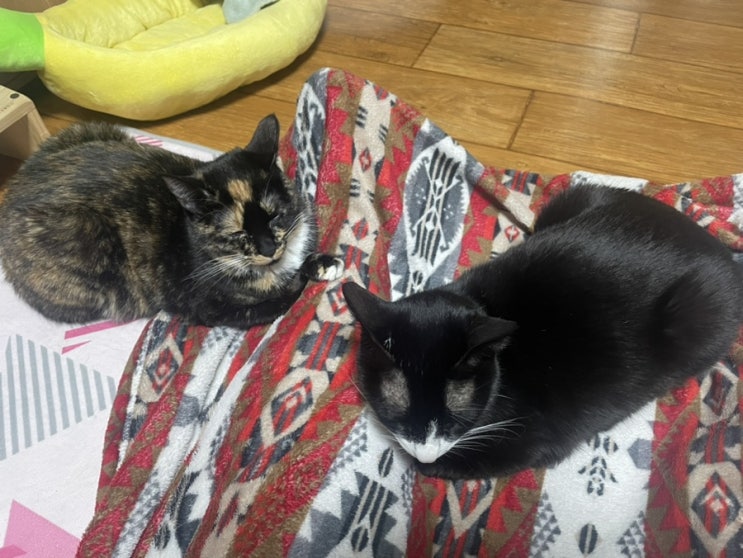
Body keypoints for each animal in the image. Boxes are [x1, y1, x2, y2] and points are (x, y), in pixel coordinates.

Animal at [0, 115, 341, 329]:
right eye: (237, 234)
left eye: (275, 215)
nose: (269, 248)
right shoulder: (213, 307)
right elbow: (281, 299)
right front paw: (308, 274)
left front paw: (323, 262)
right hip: (88, 241)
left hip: (90, 130)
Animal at [342, 184, 743, 479]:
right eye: (394, 409)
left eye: (456, 417)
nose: (425, 451)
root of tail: (716, 246)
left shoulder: (531, 437)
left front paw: (429, 463)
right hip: (572, 197)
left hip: (701, 314)